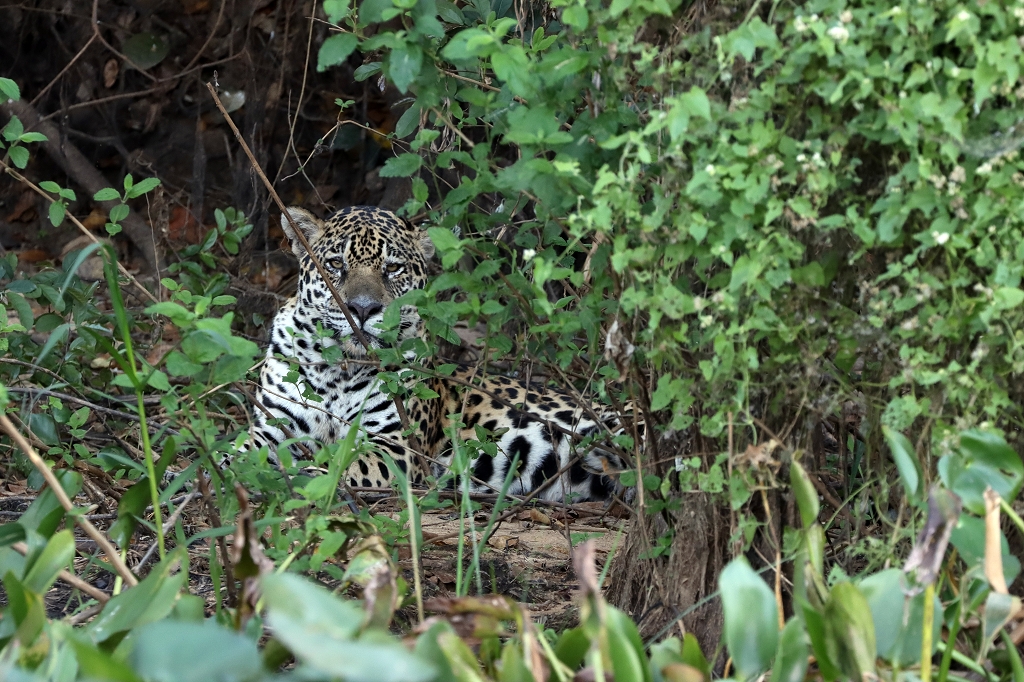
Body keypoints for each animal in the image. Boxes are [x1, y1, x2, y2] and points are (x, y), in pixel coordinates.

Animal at [250, 205, 632, 503]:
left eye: (393, 268)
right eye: (334, 264)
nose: (362, 309)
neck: (339, 369)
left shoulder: (396, 449)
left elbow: (334, 468)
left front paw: (296, 478)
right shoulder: (271, 430)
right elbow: (244, 454)